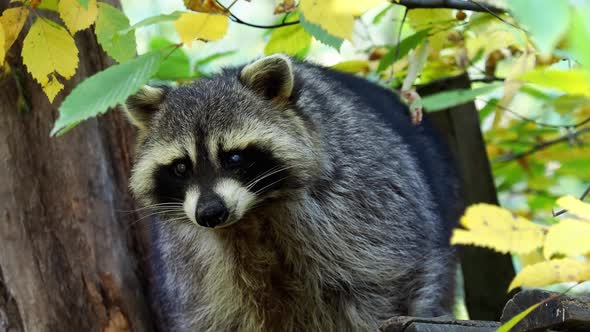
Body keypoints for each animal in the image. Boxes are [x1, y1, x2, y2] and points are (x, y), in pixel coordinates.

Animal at [125, 55, 464, 332]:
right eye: (181, 167)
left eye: (234, 157)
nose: (210, 213)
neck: (252, 216)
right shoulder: (198, 264)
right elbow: (218, 315)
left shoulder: (362, 204)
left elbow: (382, 285)